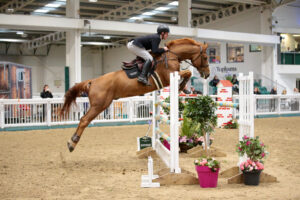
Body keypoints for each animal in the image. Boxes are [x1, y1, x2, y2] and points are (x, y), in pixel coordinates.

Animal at [61, 37, 210, 152]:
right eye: (206, 57)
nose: (207, 75)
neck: (171, 56)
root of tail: (92, 81)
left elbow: (187, 73)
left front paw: (183, 88)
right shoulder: (169, 76)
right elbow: (188, 73)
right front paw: (182, 87)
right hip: (99, 105)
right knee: (84, 120)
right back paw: (72, 143)